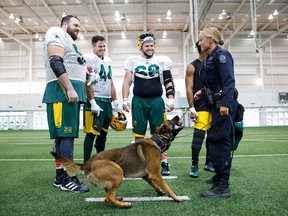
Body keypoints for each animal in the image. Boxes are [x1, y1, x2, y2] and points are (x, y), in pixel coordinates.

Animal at [51, 115, 184, 208]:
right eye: (169, 121)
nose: (178, 116)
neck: (158, 141)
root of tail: (88, 163)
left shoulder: (147, 176)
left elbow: (154, 184)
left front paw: (160, 191)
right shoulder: (155, 174)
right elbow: (167, 187)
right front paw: (176, 198)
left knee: (108, 195)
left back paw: (118, 199)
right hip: (118, 172)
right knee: (108, 198)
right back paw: (124, 205)